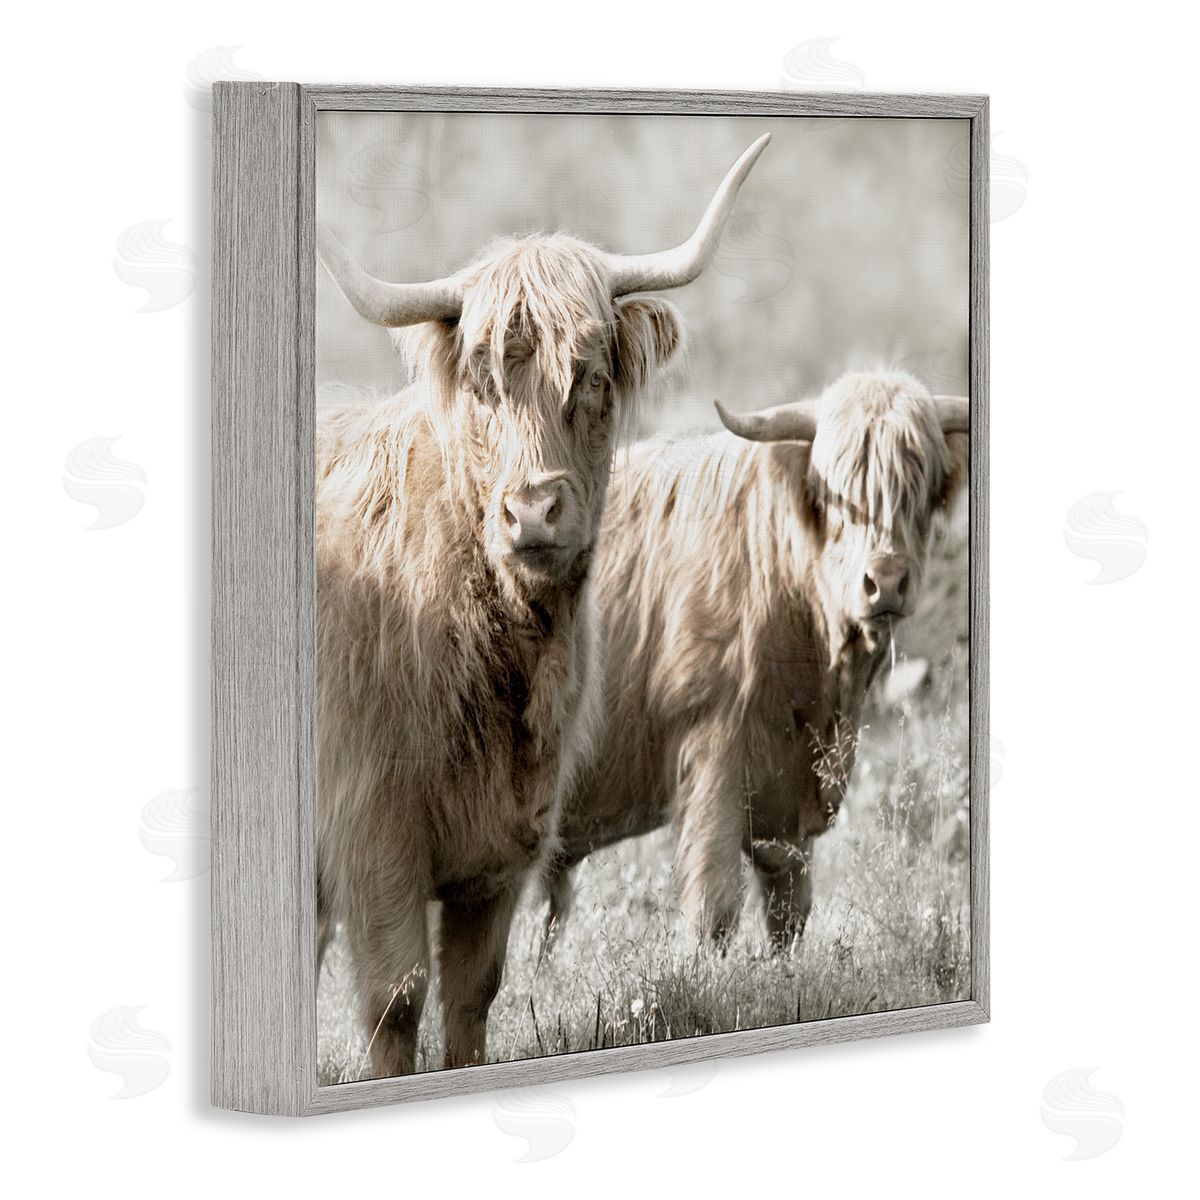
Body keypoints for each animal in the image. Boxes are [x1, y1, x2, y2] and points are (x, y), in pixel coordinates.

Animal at [314, 133, 770, 1077]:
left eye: (590, 377)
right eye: (484, 382)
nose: (532, 511)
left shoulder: (501, 848)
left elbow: (471, 998)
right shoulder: (370, 828)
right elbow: (396, 1000)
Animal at [543, 369, 969, 953]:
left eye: (918, 491)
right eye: (835, 497)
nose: (884, 582)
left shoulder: (790, 802)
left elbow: (789, 912)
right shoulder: (714, 753)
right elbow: (714, 907)